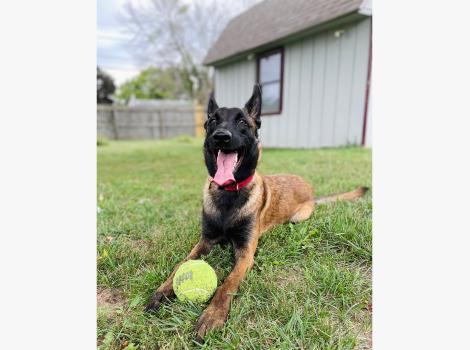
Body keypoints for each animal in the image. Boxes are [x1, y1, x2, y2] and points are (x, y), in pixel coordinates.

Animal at [145, 83, 370, 338]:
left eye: (242, 122)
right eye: (212, 120)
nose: (221, 136)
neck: (229, 194)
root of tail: (310, 189)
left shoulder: (245, 254)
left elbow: (227, 284)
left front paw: (212, 315)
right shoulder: (204, 242)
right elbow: (179, 266)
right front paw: (161, 291)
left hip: (298, 217)